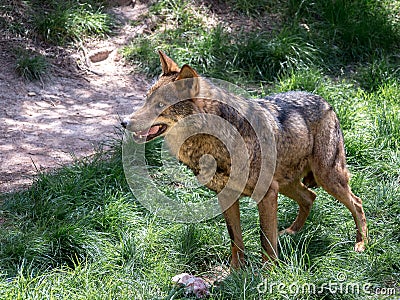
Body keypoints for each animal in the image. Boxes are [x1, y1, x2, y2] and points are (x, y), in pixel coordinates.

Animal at [122, 50, 368, 268]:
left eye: (160, 105)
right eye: (145, 100)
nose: (124, 122)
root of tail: (325, 101)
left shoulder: (266, 195)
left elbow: (266, 241)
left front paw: (269, 274)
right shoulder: (227, 196)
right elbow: (236, 239)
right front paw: (236, 272)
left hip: (327, 177)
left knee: (356, 202)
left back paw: (361, 244)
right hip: (288, 184)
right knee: (310, 196)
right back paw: (291, 232)